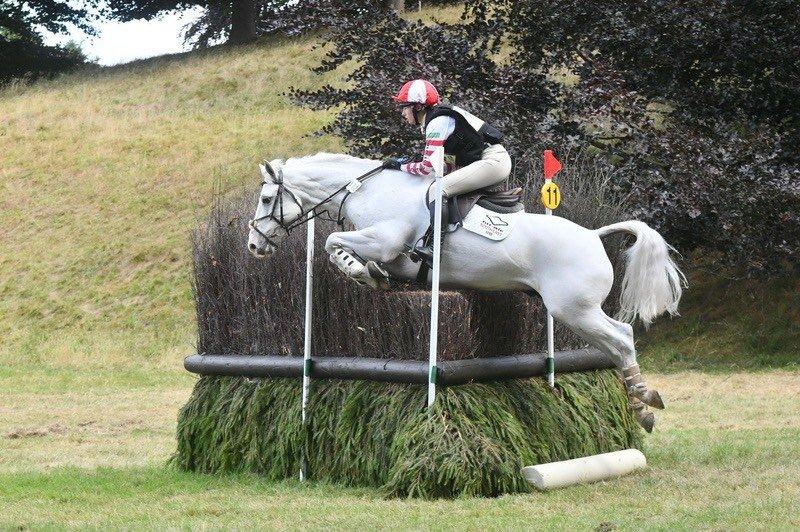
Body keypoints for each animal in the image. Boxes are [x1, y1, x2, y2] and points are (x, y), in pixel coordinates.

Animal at [247, 152, 685, 431]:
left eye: (267, 199)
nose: (254, 246)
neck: (367, 190)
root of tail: (594, 235)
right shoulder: (398, 258)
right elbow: (344, 249)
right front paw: (372, 274)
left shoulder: (386, 241)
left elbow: (332, 243)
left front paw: (361, 272)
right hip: (576, 313)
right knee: (615, 345)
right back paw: (639, 404)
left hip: (574, 310)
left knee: (622, 338)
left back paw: (644, 401)